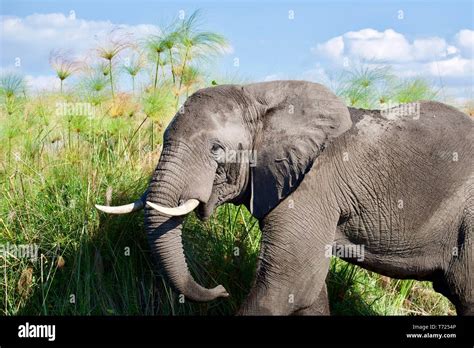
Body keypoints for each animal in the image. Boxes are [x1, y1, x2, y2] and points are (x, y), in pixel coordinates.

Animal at [94, 81, 472, 316]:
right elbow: (306, 292)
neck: (259, 97)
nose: (220, 289)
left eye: (216, 150)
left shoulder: (313, 186)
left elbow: (286, 284)